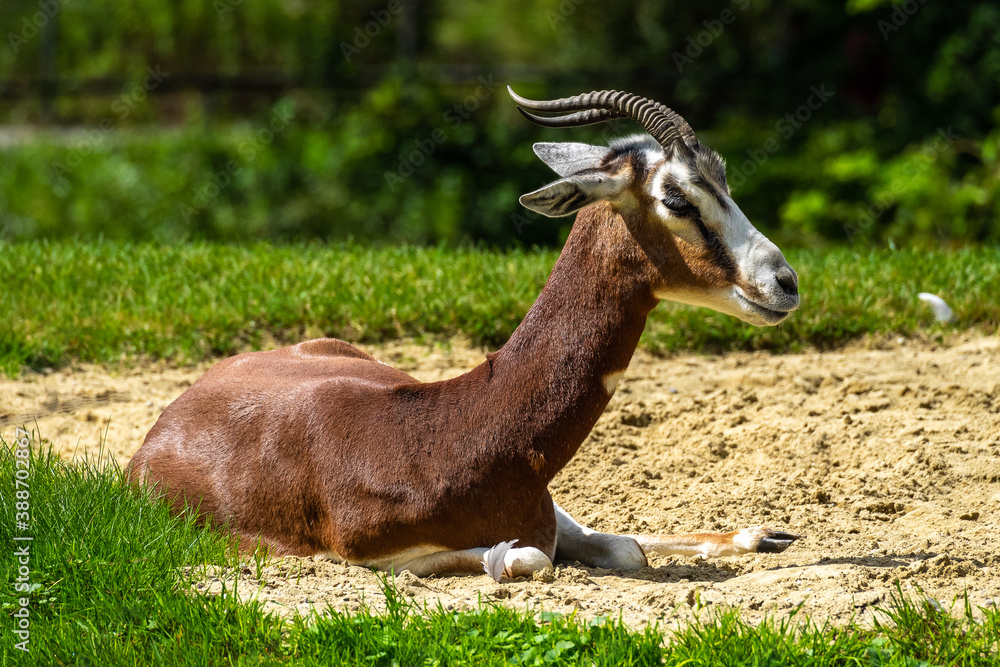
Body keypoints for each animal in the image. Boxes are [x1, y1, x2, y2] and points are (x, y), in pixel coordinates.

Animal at [128, 88, 802, 578]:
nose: (785, 282)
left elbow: (622, 546)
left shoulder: (545, 506)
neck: (454, 433)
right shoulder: (372, 555)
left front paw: (761, 533)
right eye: (676, 198)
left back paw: (770, 534)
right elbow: (528, 558)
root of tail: (160, 428)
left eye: (723, 183)